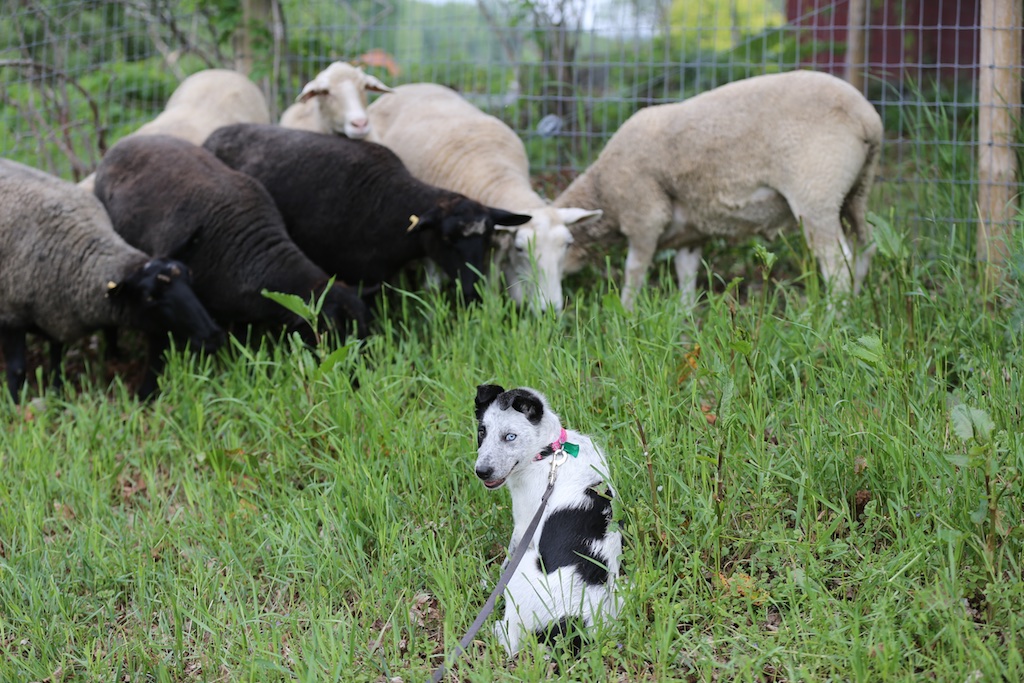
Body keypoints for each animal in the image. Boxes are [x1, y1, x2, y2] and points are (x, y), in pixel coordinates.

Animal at [0, 157, 224, 403]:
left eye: (190, 279)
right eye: (149, 297)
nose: (213, 336)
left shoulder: (52, 315)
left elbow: (56, 361)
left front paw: (56, 392)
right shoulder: (12, 315)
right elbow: (17, 369)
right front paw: (14, 401)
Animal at [368, 81, 602, 313]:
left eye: (568, 244)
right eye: (520, 249)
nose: (550, 309)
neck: (499, 178)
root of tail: (412, 85)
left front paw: (492, 308)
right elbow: (433, 280)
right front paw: (433, 308)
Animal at [473, 385, 622, 655]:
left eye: (510, 437)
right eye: (482, 432)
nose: (481, 472)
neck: (549, 452)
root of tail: (573, 621)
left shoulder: (524, 524)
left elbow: (506, 561)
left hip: (522, 573)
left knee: (510, 640)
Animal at [552, 68, 880, 309]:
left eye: (564, 245)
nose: (545, 310)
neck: (602, 188)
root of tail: (868, 118)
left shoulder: (644, 217)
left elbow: (634, 271)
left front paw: (626, 313)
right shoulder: (691, 232)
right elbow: (685, 273)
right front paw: (683, 315)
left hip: (816, 193)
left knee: (838, 263)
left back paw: (834, 317)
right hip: (856, 192)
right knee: (865, 247)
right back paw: (857, 303)